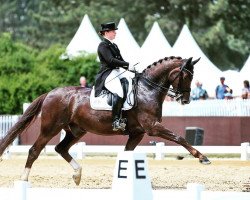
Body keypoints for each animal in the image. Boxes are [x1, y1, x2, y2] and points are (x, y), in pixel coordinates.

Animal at [0, 55, 211, 185]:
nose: (186, 99)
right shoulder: (152, 127)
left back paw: (77, 175)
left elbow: (126, 153)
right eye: (186, 76)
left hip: (76, 130)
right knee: (35, 150)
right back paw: (24, 180)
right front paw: (203, 158)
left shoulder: (137, 133)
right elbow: (179, 138)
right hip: (51, 128)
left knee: (61, 148)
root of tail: (50, 93)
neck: (147, 89)